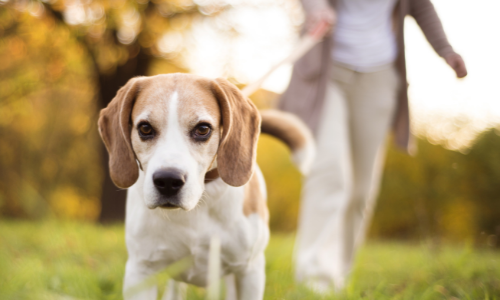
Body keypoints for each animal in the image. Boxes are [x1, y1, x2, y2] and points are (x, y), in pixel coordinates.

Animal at [98, 73, 312, 300]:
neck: (198, 206)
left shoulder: (249, 271)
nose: (168, 181)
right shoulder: (140, 271)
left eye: (202, 129)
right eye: (145, 128)